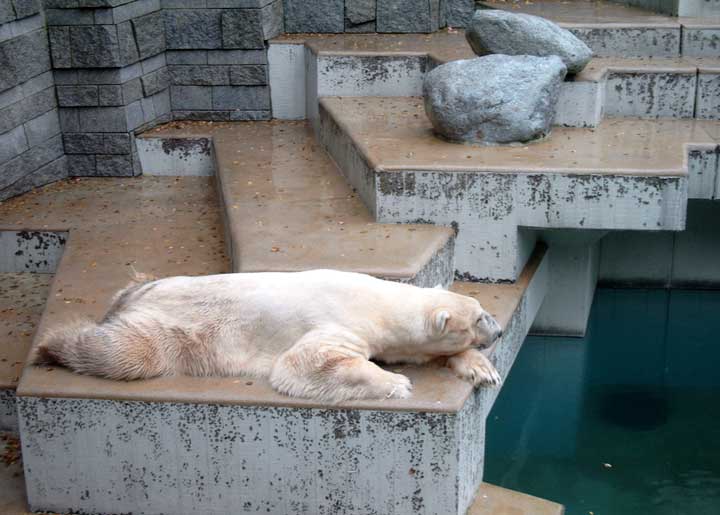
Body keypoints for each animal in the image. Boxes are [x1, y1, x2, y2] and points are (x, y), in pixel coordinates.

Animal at [33, 270, 504, 404]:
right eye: (480, 317)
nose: (498, 330)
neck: (378, 300)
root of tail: (133, 296)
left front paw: (483, 371)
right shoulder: (341, 323)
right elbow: (306, 362)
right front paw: (395, 383)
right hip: (172, 326)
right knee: (126, 353)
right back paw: (49, 346)